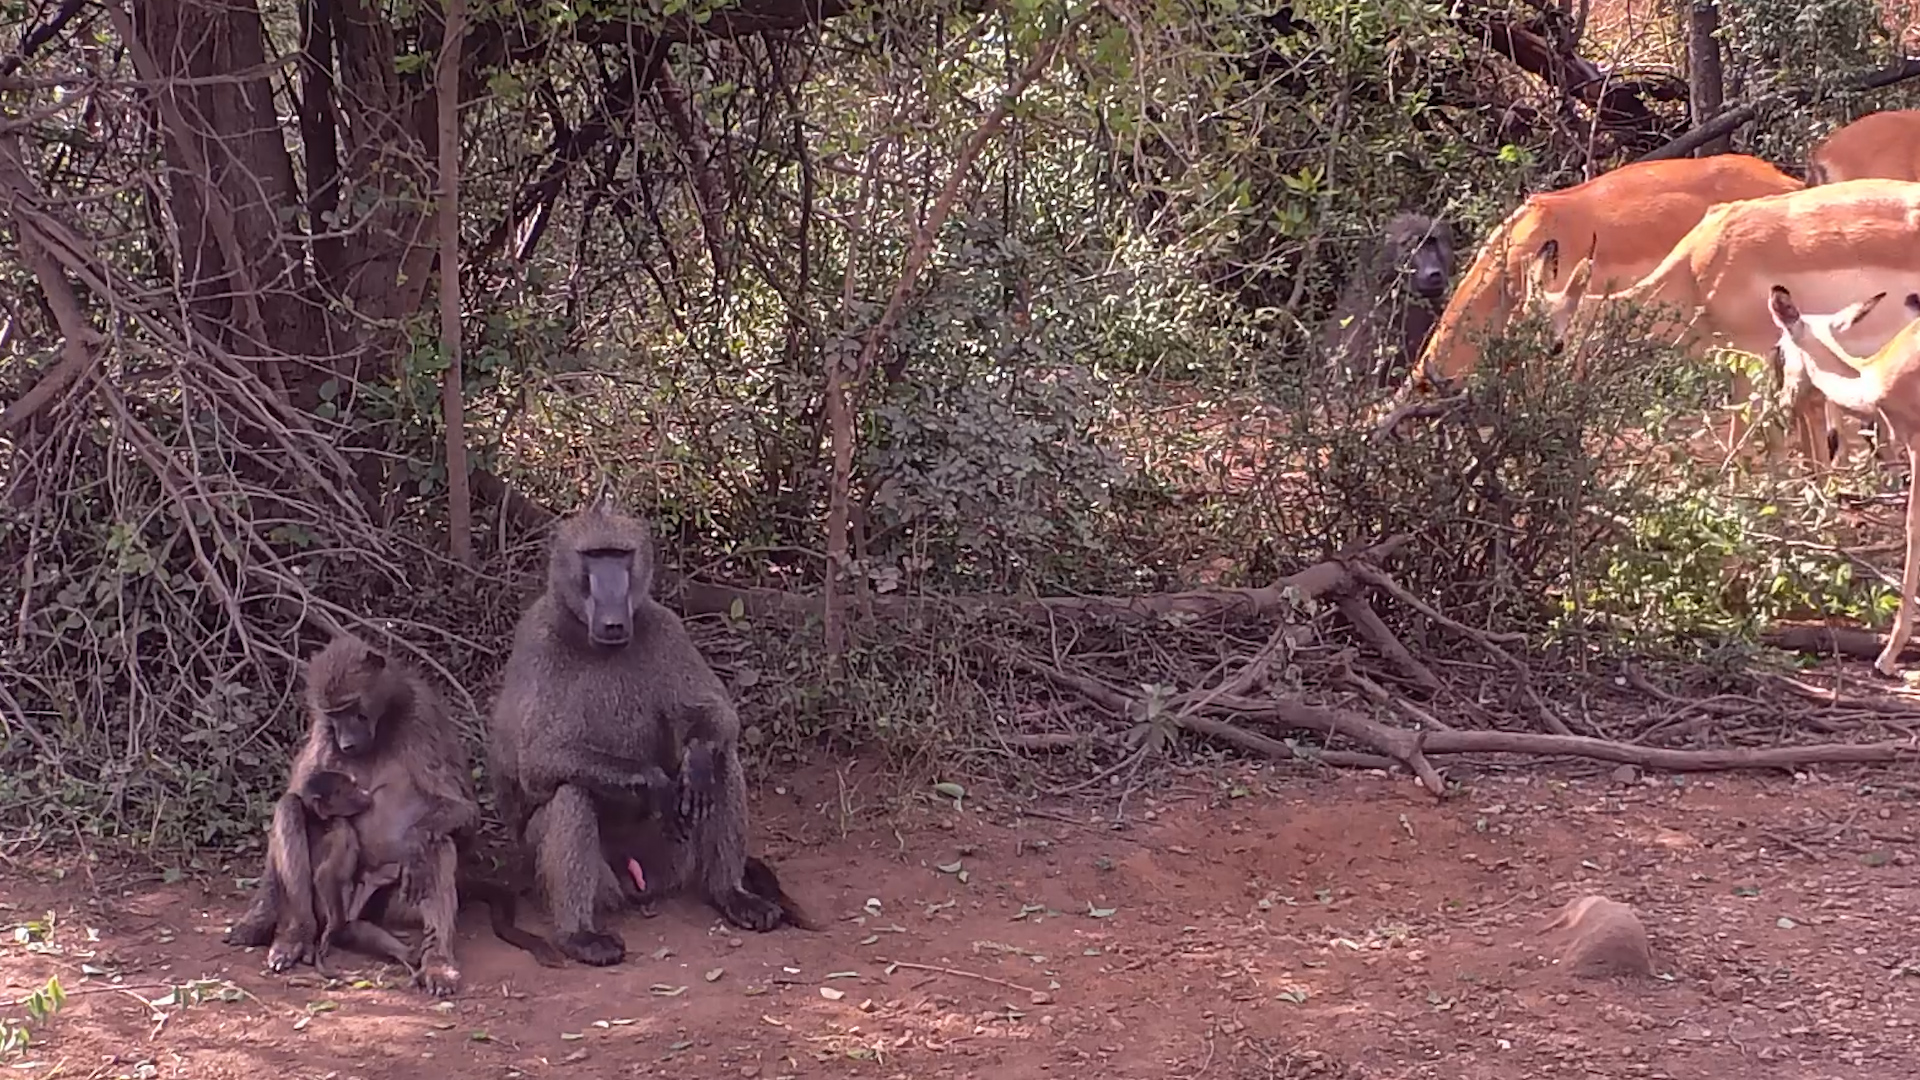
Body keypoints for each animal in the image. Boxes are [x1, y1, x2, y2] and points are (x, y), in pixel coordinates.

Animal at [485, 490, 804, 967]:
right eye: (594, 556)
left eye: (620, 555)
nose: (614, 617)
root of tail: (640, 884)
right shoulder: (536, 641)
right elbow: (537, 762)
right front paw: (653, 781)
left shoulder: (665, 625)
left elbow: (718, 715)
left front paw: (693, 765)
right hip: (569, 871)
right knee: (571, 793)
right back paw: (580, 935)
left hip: (672, 857)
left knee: (723, 759)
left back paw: (731, 894)